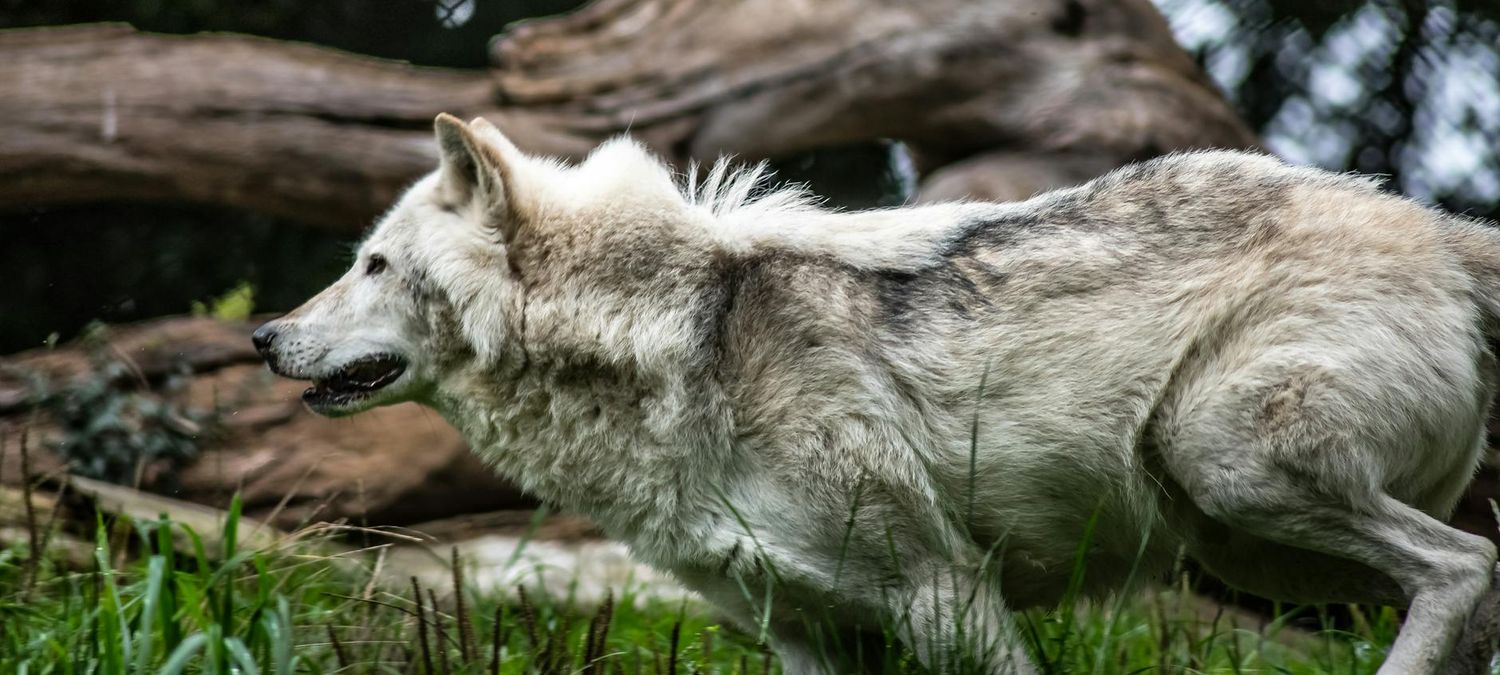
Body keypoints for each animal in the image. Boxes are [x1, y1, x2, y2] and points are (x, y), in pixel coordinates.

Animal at [255, 113, 1500, 674]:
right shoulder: (803, 635)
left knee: (1463, 565)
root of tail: (1439, 226)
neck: (665, 338)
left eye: (372, 264)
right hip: (1253, 547)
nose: (265, 335)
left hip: (1230, 474)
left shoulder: (949, 595)